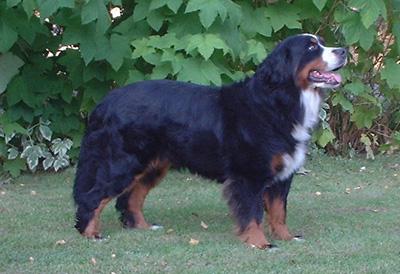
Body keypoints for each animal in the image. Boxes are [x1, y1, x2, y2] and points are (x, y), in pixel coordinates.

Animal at [74, 33, 346, 249]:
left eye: (322, 42)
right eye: (311, 47)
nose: (343, 51)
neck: (277, 102)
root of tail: (107, 101)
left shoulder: (281, 176)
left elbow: (279, 212)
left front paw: (287, 237)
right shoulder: (249, 175)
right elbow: (253, 213)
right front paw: (260, 243)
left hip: (152, 165)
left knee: (130, 197)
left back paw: (143, 226)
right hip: (123, 163)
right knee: (93, 196)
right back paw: (90, 234)